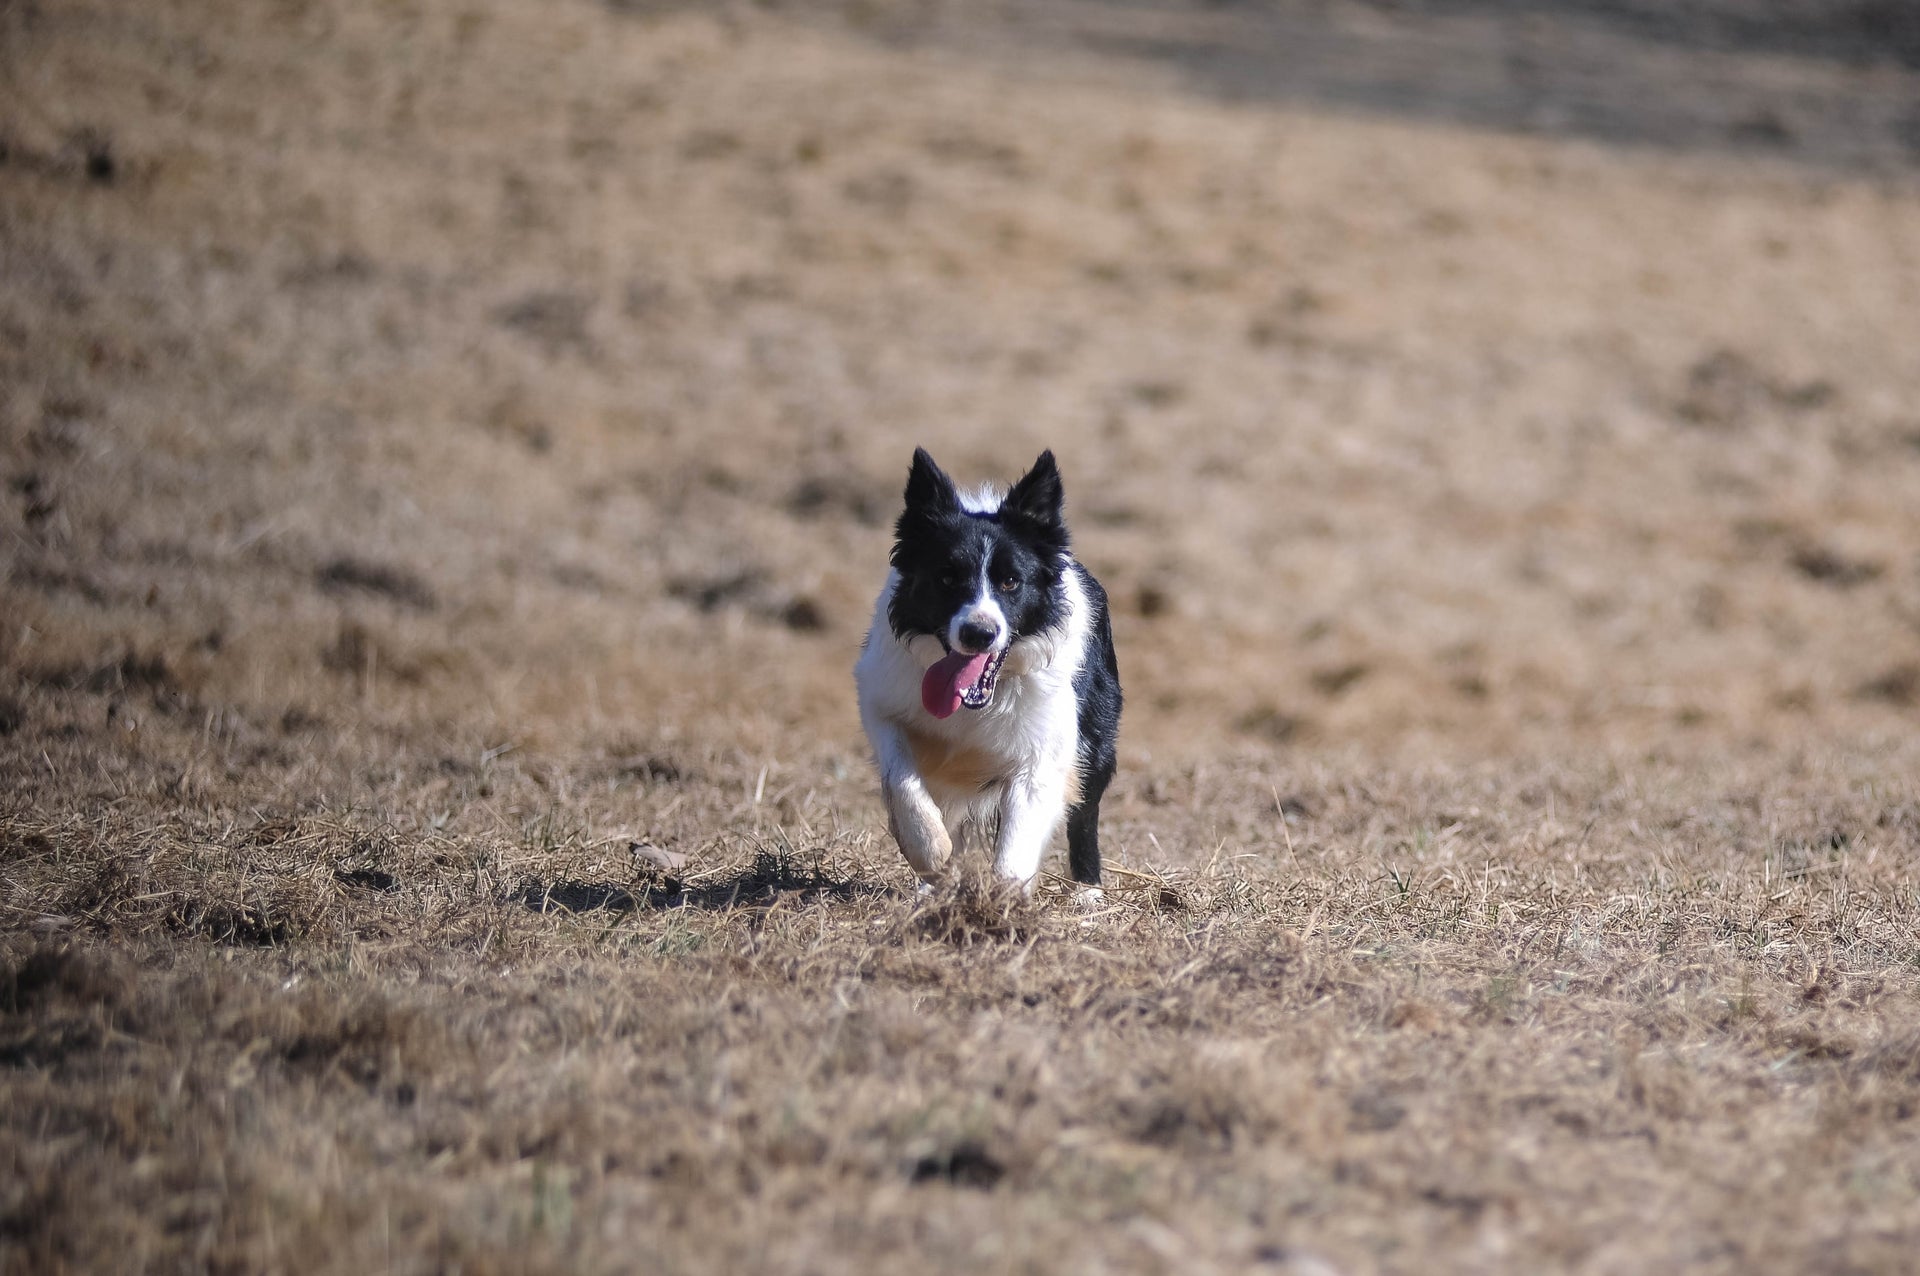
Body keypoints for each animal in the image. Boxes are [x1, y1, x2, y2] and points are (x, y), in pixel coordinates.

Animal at [860, 452, 1121, 890]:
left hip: (1095, 739)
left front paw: (1000, 900)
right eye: (946, 578)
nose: (979, 633)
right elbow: (901, 777)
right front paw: (931, 854)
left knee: (1085, 812)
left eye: (1011, 582)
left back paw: (1089, 892)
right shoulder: (882, 699)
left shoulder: (1042, 753)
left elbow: (1016, 847)